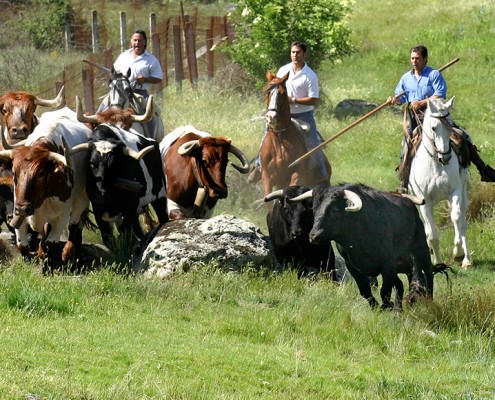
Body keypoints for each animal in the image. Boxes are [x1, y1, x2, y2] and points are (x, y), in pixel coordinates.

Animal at [0, 106, 91, 268]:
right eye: (14, 171)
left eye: (41, 173)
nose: (23, 208)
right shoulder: (18, 213)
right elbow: (22, 245)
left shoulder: (61, 216)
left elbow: (48, 245)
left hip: (81, 200)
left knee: (75, 225)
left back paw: (69, 253)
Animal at [262, 70, 332, 198]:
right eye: (267, 91)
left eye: (283, 93)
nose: (271, 117)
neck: (279, 140)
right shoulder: (267, 177)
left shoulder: (297, 174)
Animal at [406, 97, 472, 268]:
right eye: (434, 128)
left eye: (450, 126)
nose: (446, 157)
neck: (436, 163)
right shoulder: (425, 202)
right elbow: (431, 235)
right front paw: (438, 261)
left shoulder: (455, 191)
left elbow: (456, 218)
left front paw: (458, 253)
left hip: (463, 192)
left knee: (462, 221)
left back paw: (467, 259)